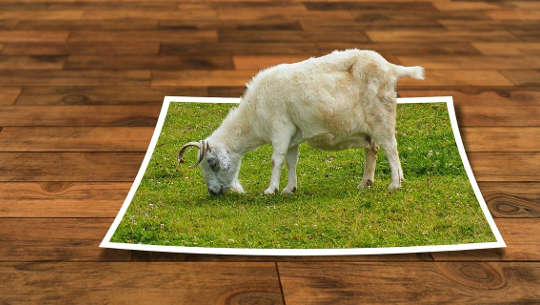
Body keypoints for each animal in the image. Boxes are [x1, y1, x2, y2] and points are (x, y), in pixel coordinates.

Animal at [179, 48, 424, 194]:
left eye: (212, 163)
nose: (213, 192)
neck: (254, 113)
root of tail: (391, 67)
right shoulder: (293, 136)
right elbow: (291, 161)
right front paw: (290, 188)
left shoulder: (280, 128)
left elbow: (276, 160)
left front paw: (271, 189)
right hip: (369, 128)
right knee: (372, 151)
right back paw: (365, 183)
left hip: (382, 117)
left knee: (391, 148)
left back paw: (395, 183)